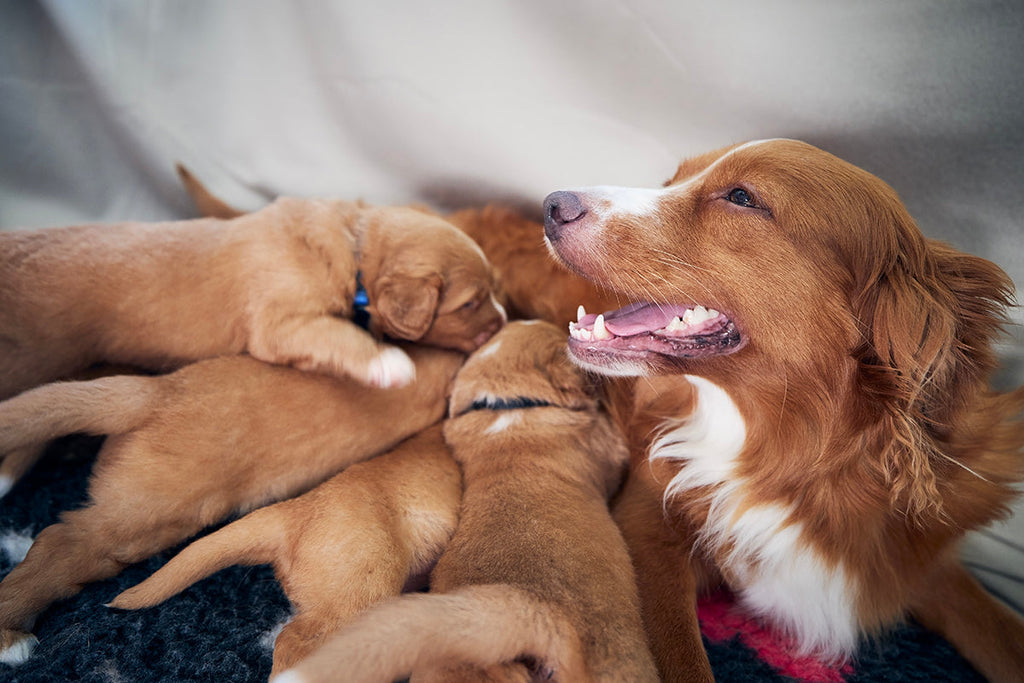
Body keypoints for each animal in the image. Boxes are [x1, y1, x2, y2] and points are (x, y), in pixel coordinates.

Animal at [0, 189, 503, 401]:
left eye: (494, 289)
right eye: (469, 304)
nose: (502, 321)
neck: (353, 244)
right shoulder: (279, 321)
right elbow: (338, 334)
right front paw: (388, 363)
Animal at [544, 139, 1024, 683]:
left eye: (742, 197)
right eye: (672, 181)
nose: (553, 205)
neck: (793, 459)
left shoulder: (923, 563)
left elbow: (1004, 633)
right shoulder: (648, 527)